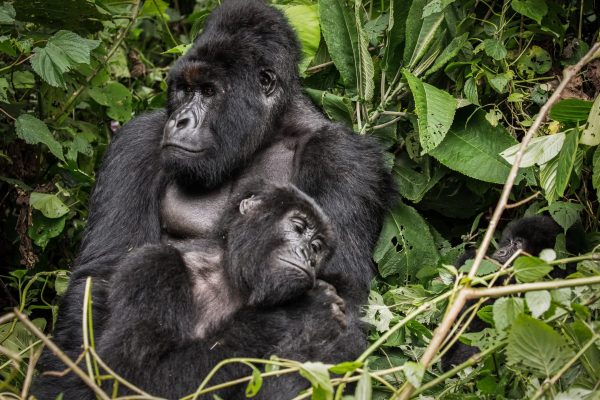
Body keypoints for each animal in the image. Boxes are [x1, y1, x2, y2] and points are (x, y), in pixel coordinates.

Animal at [95, 184, 344, 396]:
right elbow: (127, 379)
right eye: (298, 227)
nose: (309, 257)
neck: (230, 275)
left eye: (316, 247)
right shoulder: (151, 268)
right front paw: (298, 312)